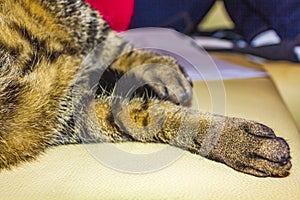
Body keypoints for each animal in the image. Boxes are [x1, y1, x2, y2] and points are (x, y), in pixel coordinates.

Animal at [0, 0, 292, 178]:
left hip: (76, 15)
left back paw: (164, 70)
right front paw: (235, 141)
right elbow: (151, 116)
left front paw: (235, 140)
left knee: (114, 45)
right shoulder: (69, 114)